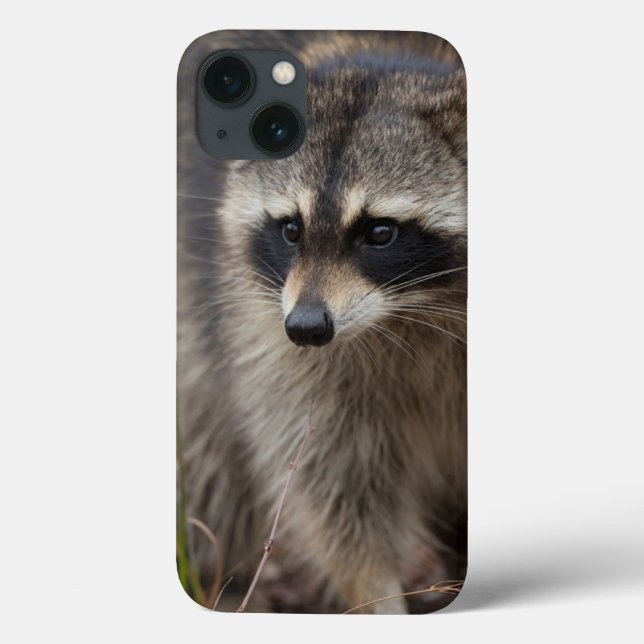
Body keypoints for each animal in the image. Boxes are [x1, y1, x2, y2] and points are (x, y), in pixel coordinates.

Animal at [178, 31, 467, 614]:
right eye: (291, 230)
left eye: (380, 233)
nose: (307, 328)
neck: (413, 308)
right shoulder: (264, 333)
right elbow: (335, 484)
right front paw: (378, 596)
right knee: (210, 452)